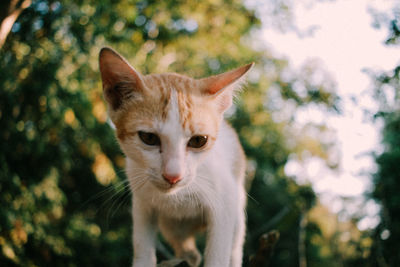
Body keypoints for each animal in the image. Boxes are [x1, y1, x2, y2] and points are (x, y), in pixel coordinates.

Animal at [98, 47, 252, 266]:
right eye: (149, 138)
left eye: (199, 140)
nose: (173, 176)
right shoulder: (142, 204)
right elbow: (142, 249)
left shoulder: (225, 203)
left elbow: (218, 256)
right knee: (188, 249)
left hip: (238, 212)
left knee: (234, 248)